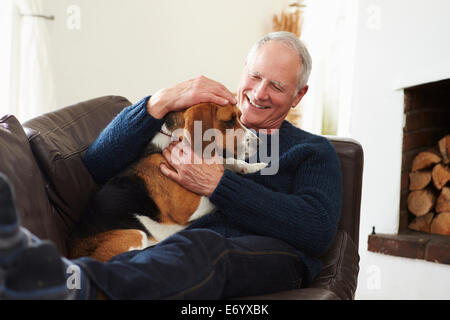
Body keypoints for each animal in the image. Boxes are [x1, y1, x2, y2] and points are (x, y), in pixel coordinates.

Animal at [68, 104, 266, 262]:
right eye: (230, 120)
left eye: (239, 117)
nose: (259, 143)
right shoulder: (186, 208)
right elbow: (214, 195)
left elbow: (227, 164)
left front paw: (253, 167)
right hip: (133, 234)